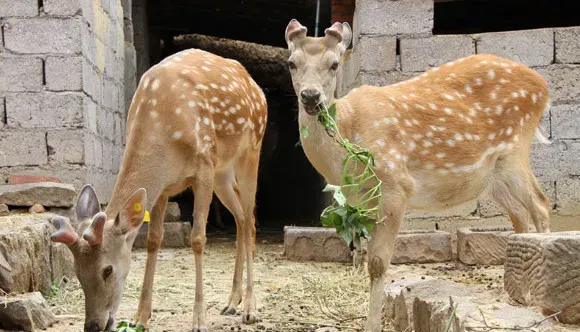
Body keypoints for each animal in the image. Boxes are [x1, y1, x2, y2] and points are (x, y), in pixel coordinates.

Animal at [49, 49, 268, 332]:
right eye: (77, 272)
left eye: (107, 270)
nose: (94, 325)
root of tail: (255, 86)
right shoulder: (164, 187)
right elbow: (153, 240)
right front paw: (140, 317)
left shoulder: (204, 166)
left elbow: (198, 239)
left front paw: (199, 319)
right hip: (223, 172)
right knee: (242, 218)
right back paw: (232, 301)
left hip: (250, 152)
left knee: (250, 218)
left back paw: (250, 308)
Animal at [286, 19, 552, 330]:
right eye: (291, 62)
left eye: (334, 64)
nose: (311, 96)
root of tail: (544, 87)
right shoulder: (361, 201)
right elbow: (362, 255)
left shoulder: (395, 185)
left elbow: (377, 263)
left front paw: (372, 324)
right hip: (494, 176)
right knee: (520, 215)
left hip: (516, 151)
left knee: (541, 204)